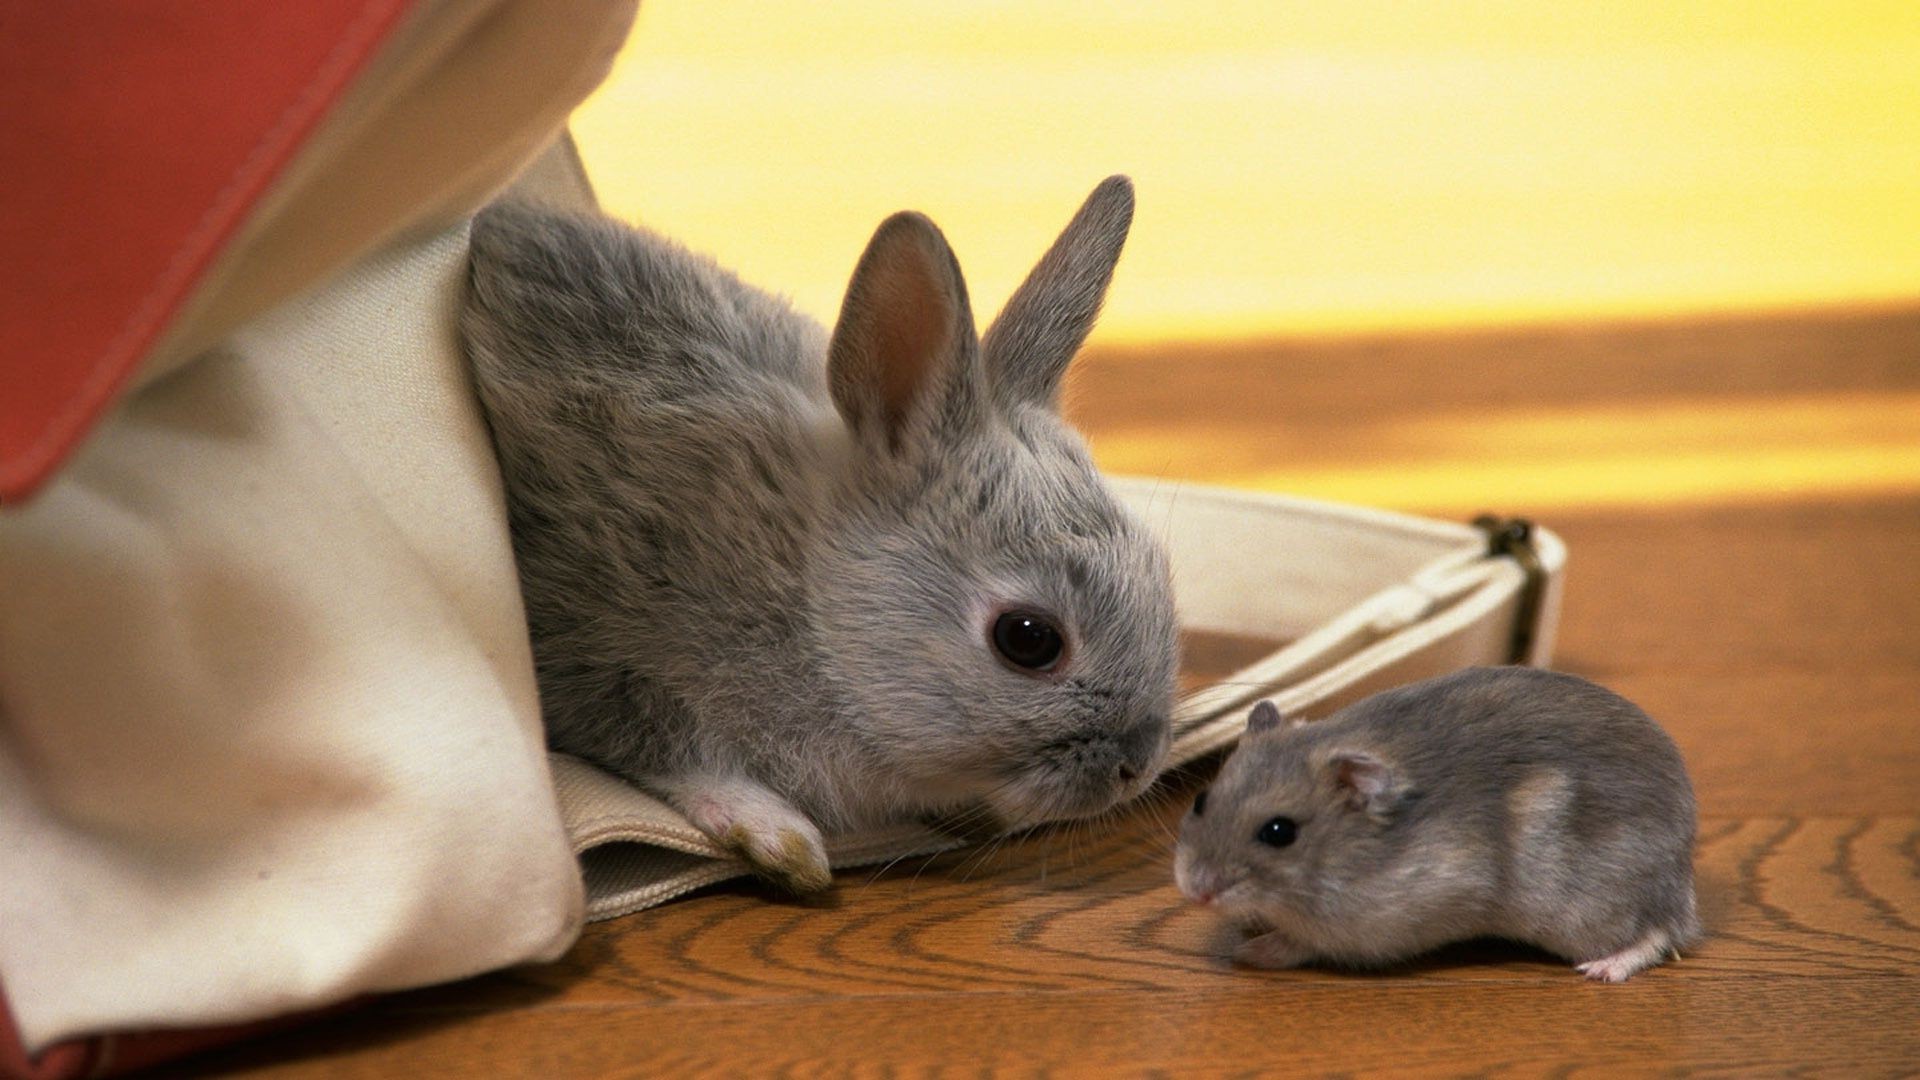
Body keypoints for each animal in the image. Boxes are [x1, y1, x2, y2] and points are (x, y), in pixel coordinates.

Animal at [464, 178, 1182, 891]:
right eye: (1028, 639)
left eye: (1160, 571)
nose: (1136, 768)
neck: (809, 601)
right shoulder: (597, 643)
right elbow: (672, 753)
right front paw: (781, 839)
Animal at [1167, 664, 1697, 976]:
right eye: (1200, 800)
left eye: (1279, 832)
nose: (1194, 891)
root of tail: (1683, 873)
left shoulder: (1381, 926)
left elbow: (1303, 942)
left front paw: (1250, 952)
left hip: (1586, 910)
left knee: (1659, 933)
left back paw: (1602, 970)